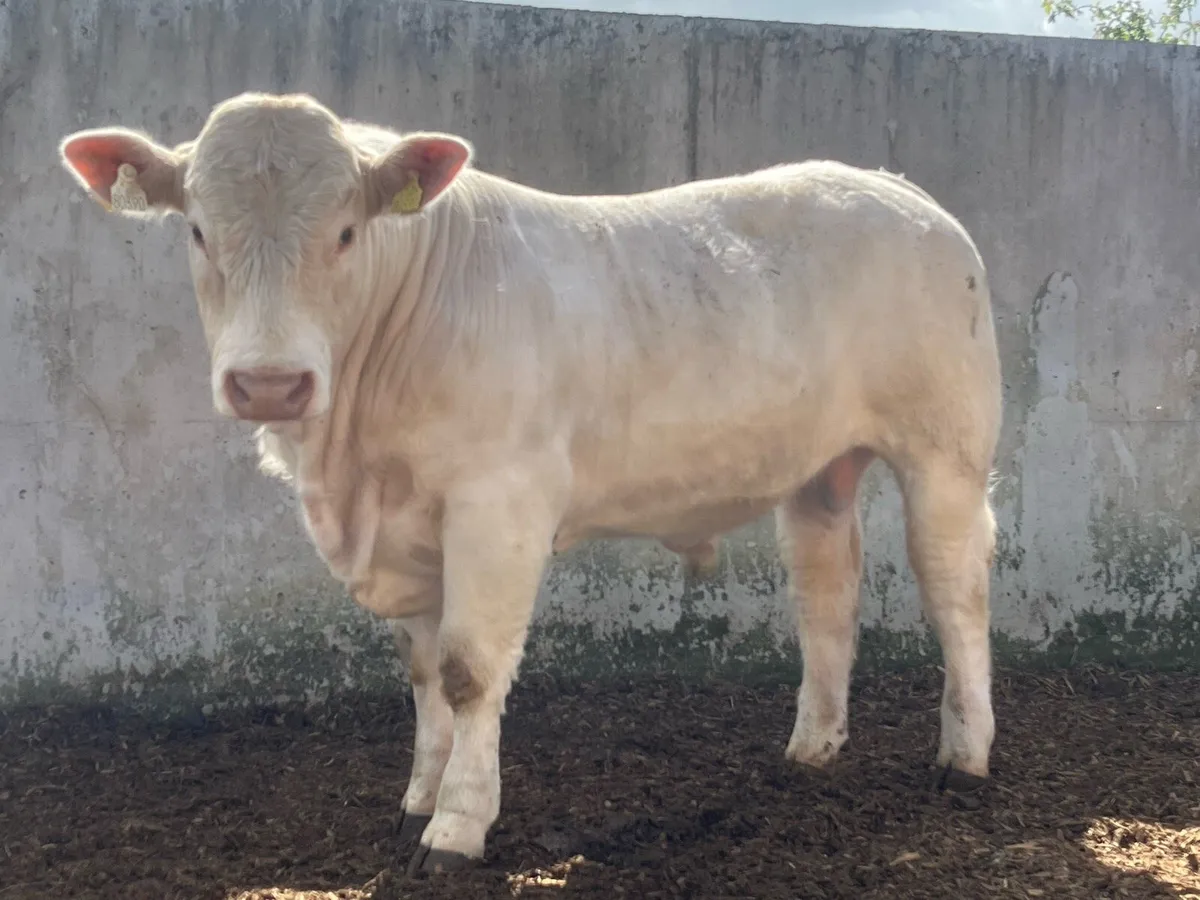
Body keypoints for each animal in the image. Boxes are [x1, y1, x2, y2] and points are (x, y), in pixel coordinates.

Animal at [59, 91, 1003, 875]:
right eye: (197, 231)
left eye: (346, 232)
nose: (268, 384)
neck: (354, 460)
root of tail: (902, 191)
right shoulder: (408, 530)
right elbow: (423, 671)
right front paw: (418, 799)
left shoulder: (498, 502)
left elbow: (469, 670)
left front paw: (456, 828)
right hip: (818, 469)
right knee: (826, 590)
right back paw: (813, 748)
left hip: (947, 450)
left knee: (954, 591)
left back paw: (966, 756)